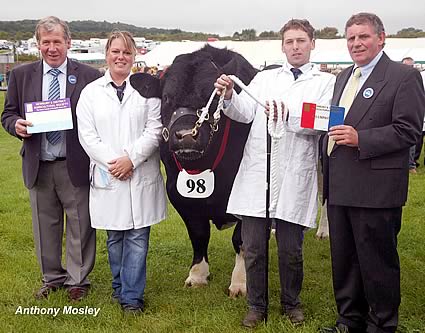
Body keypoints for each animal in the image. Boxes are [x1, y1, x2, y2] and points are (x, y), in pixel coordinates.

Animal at [130, 44, 255, 296]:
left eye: (212, 97)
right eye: (166, 97)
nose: (187, 135)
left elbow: (240, 240)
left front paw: (240, 282)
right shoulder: (179, 195)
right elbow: (198, 234)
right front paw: (197, 275)